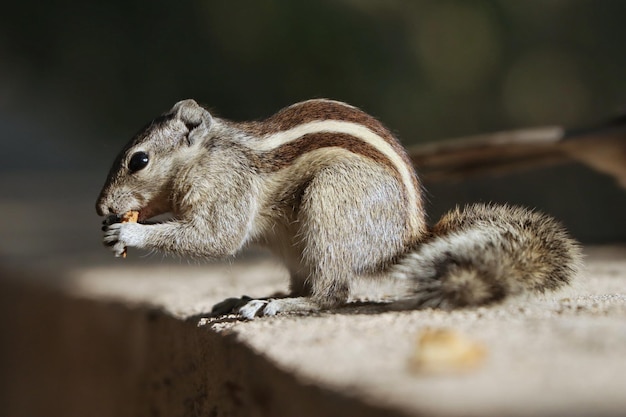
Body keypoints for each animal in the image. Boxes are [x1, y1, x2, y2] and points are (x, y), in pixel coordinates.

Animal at [95, 98, 576, 318]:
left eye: (139, 161)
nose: (101, 208)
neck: (206, 154)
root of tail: (406, 241)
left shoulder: (225, 187)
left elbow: (215, 237)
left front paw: (131, 231)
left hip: (330, 203)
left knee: (331, 295)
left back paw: (276, 307)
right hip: (295, 242)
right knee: (306, 284)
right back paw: (254, 297)